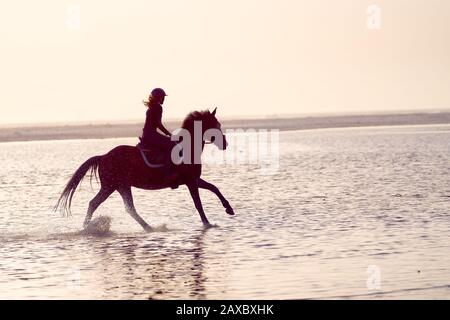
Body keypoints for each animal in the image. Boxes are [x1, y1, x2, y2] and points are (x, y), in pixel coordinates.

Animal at [54, 107, 234, 230]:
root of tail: (103, 156)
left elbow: (214, 188)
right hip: (112, 186)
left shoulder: (193, 179)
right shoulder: (190, 181)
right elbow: (198, 203)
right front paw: (207, 223)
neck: (189, 147)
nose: (225, 144)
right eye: (216, 125)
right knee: (98, 204)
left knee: (125, 208)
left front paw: (229, 209)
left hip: (120, 186)